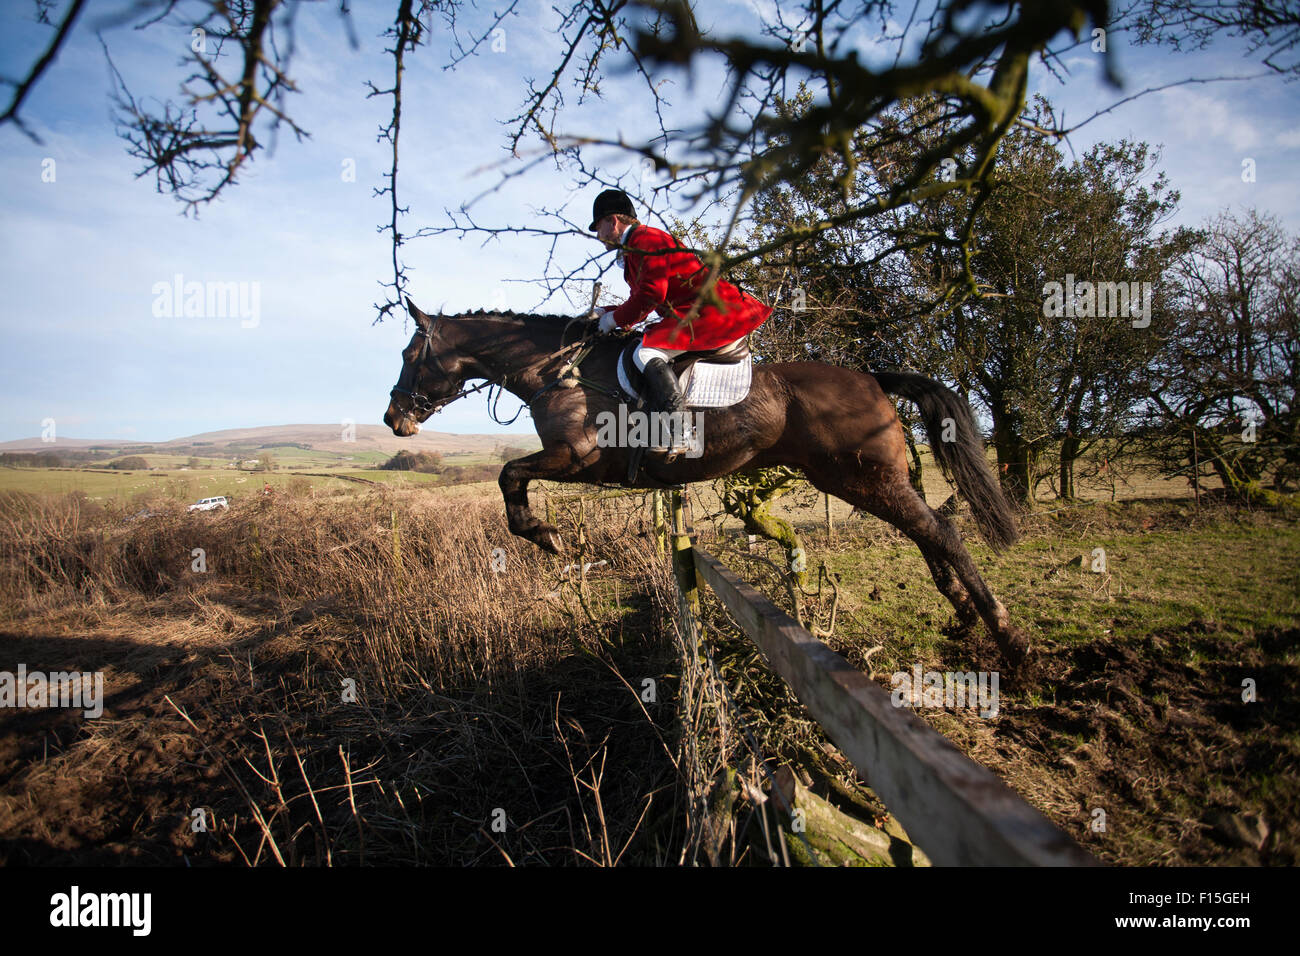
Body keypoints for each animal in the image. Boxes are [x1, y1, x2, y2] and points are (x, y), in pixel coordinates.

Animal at [379, 300, 1029, 665]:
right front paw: (546, 535)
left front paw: (545, 535)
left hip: (865, 477)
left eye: (410, 355)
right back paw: (963, 615)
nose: (393, 419)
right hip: (860, 480)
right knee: (928, 531)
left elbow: (508, 475)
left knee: (941, 531)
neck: (558, 371)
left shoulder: (577, 457)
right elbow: (510, 476)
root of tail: (871, 376)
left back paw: (1009, 640)